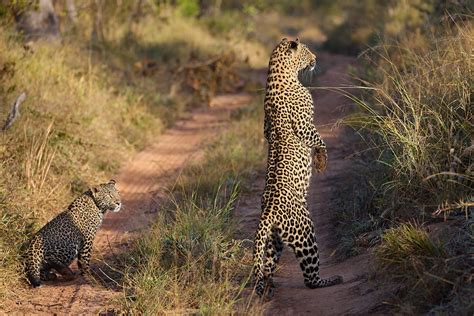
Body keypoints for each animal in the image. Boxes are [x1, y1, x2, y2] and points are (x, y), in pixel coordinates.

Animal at [254, 38, 342, 298]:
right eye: (307, 51)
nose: (315, 59)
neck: (281, 73)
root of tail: (268, 212)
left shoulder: (266, 128)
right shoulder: (304, 124)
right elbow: (318, 140)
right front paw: (321, 160)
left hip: (274, 239)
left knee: (267, 266)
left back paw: (269, 287)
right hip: (305, 232)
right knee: (310, 278)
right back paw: (330, 280)